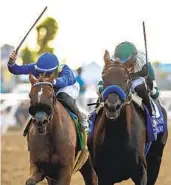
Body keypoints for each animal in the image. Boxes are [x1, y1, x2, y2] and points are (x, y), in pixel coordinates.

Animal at [89, 50, 168, 185]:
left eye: (125, 79)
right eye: (104, 78)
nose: (112, 106)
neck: (116, 137)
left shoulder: (141, 173)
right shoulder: (104, 175)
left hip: (156, 159)